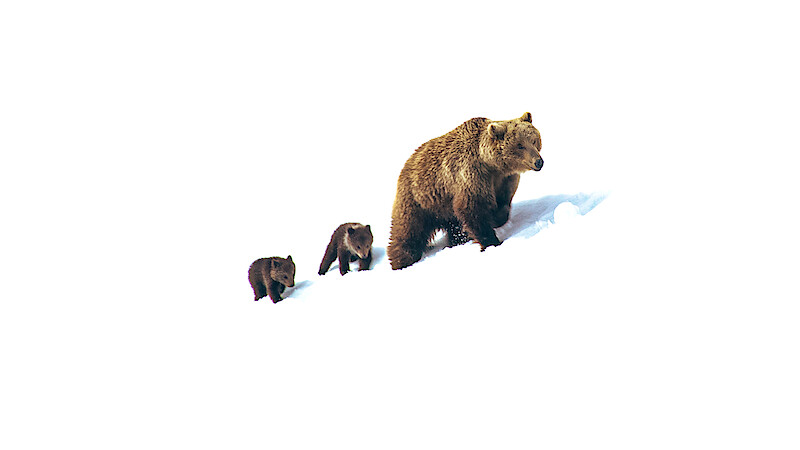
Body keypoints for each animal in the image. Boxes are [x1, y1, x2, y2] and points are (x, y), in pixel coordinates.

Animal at [387, 112, 542, 270]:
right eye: (520, 145)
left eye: (534, 140)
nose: (538, 162)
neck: (491, 164)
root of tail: (406, 165)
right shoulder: (471, 176)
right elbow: (473, 210)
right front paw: (491, 241)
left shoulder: (504, 180)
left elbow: (503, 203)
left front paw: (497, 218)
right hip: (419, 199)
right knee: (408, 231)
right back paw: (402, 261)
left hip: (444, 206)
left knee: (453, 226)